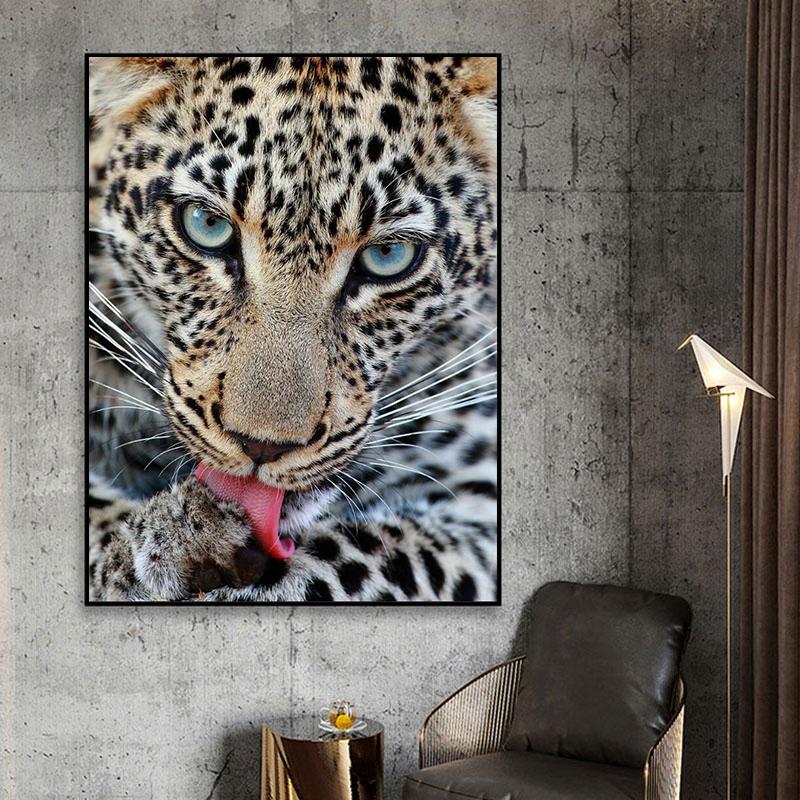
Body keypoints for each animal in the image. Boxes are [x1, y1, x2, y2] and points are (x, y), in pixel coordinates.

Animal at [87, 55, 498, 603]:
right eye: (206, 226)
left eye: (389, 256)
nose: (263, 447)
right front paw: (162, 540)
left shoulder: (479, 512)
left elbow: (326, 566)